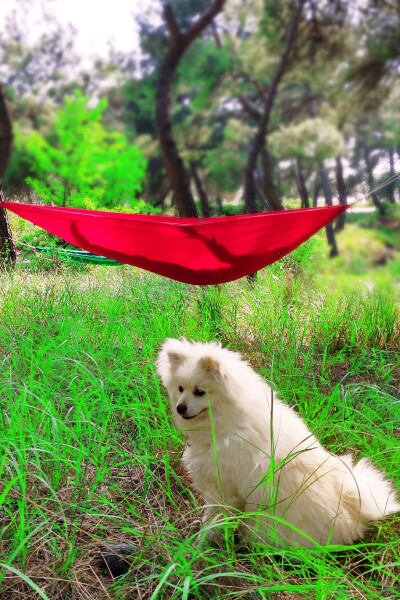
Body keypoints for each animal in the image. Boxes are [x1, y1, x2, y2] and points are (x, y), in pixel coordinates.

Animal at [156, 338, 396, 548]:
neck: (231, 421)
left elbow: (213, 520)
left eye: (199, 392)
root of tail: (352, 506)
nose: (180, 408)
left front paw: (199, 544)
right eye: (180, 389)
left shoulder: (224, 487)